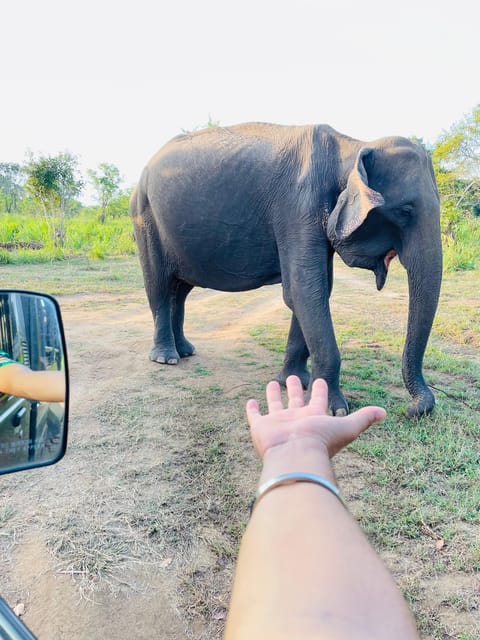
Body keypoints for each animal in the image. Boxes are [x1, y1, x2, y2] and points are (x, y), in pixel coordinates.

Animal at [131, 122, 442, 418]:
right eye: (405, 211)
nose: (411, 410)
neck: (352, 147)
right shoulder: (298, 207)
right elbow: (305, 290)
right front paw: (335, 410)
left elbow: (314, 291)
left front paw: (295, 381)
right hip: (144, 217)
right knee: (159, 286)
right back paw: (166, 358)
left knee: (181, 290)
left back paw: (185, 351)